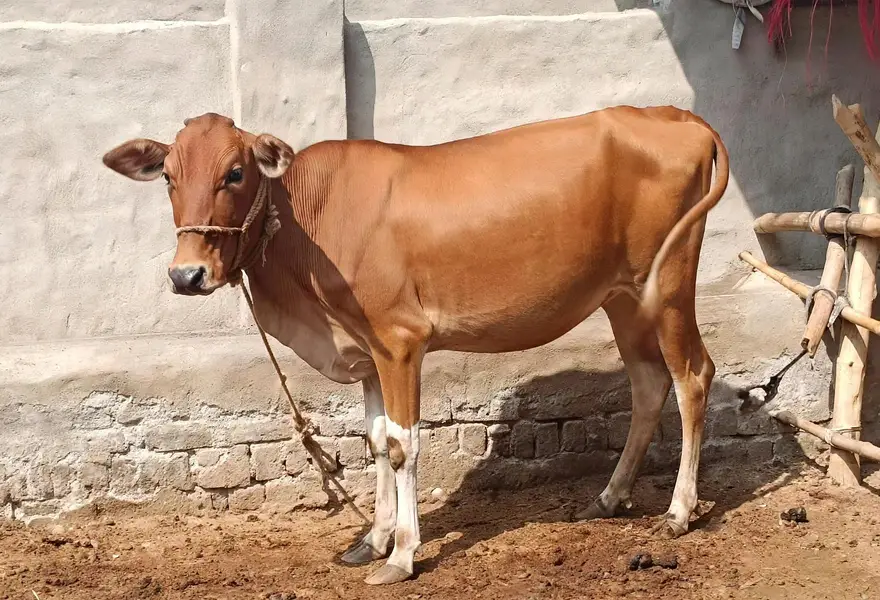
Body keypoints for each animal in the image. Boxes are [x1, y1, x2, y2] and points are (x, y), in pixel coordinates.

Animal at [102, 106, 729, 585]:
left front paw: (402, 555)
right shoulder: (369, 354)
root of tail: (679, 116)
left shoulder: (400, 339)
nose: (186, 274)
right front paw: (372, 539)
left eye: (235, 173)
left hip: (669, 283)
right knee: (649, 384)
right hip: (624, 297)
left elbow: (404, 446)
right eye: (168, 176)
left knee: (692, 377)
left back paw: (678, 511)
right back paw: (608, 497)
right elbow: (377, 441)